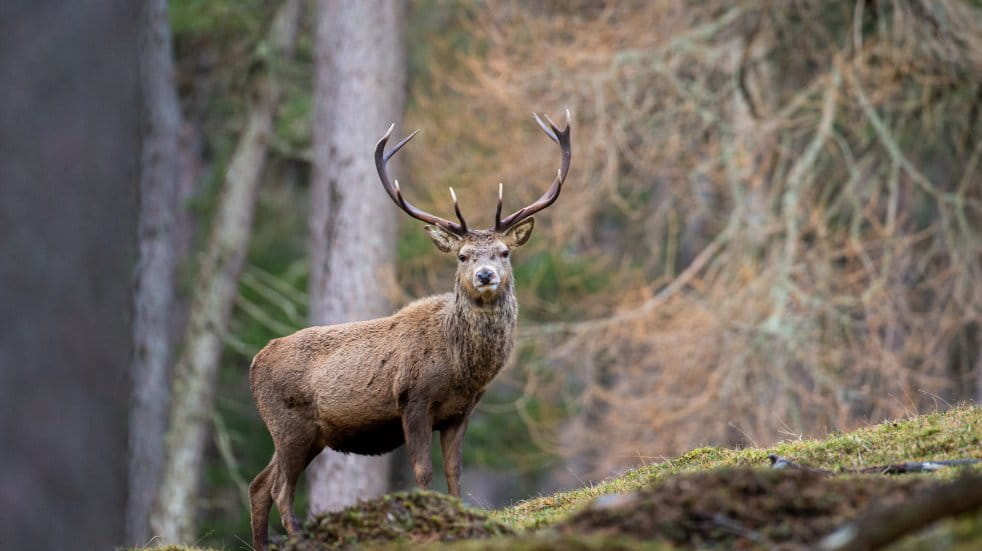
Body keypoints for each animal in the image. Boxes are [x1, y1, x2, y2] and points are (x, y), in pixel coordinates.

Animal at [246, 110, 572, 548]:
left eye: (504, 252)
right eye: (463, 256)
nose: (485, 275)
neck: (460, 368)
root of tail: (255, 362)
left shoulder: (460, 412)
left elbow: (454, 471)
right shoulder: (413, 400)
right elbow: (423, 470)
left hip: (305, 433)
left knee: (259, 485)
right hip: (288, 424)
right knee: (281, 487)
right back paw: (299, 535)